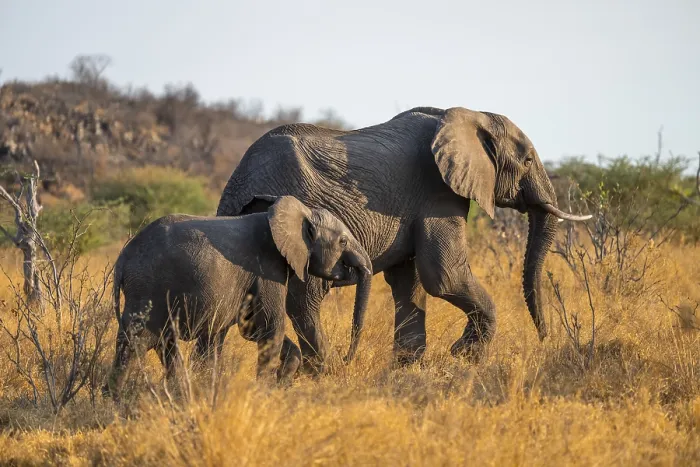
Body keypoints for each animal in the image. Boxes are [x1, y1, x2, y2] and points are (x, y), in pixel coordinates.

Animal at [103, 195, 373, 401]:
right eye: (343, 241)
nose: (345, 358)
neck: (298, 212)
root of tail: (123, 258)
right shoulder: (267, 267)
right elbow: (269, 328)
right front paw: (264, 393)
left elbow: (252, 329)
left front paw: (282, 383)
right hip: (149, 287)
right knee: (138, 340)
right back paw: (114, 402)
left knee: (163, 343)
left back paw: (179, 394)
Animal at [216, 106, 591, 373]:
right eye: (526, 161)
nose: (544, 337)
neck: (469, 113)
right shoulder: (436, 191)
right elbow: (443, 275)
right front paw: (466, 355)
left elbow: (407, 281)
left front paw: (408, 367)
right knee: (305, 297)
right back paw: (326, 369)